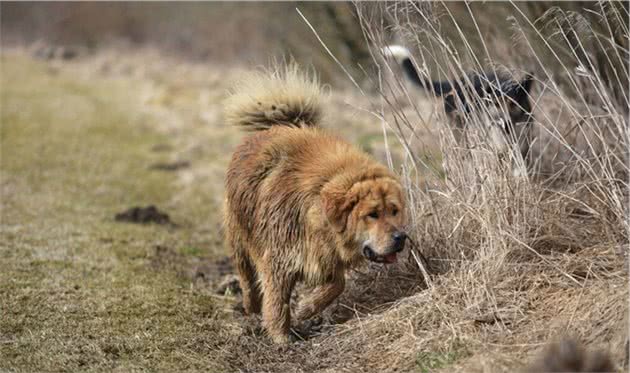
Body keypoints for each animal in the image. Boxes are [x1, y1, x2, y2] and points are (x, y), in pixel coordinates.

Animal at [225, 66, 408, 342]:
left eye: (394, 211)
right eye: (372, 214)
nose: (400, 237)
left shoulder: (326, 257)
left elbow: (337, 284)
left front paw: (306, 308)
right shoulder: (279, 259)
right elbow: (277, 302)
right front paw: (281, 338)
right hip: (240, 237)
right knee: (247, 278)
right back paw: (251, 306)